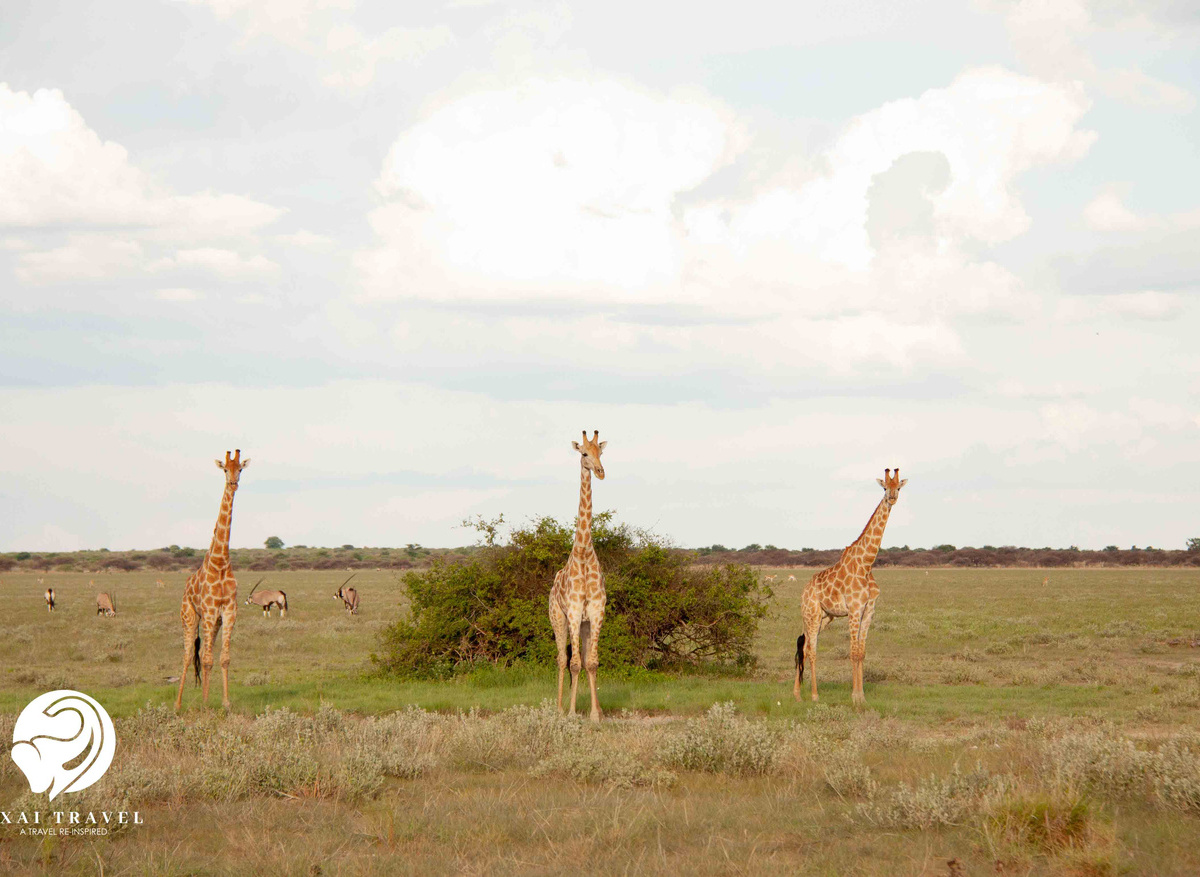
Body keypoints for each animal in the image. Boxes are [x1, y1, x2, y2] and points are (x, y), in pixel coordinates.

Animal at [175, 450, 249, 711]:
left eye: (240, 469)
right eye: (225, 469)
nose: (234, 483)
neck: (220, 561)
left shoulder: (229, 610)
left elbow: (223, 658)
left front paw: (225, 703)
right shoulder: (207, 611)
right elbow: (206, 659)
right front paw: (206, 705)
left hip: (213, 622)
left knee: (204, 653)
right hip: (189, 616)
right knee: (188, 655)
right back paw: (178, 704)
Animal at [794, 468, 907, 705]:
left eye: (898, 488)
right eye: (885, 487)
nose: (892, 498)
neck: (866, 563)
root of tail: (804, 592)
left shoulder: (869, 610)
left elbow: (861, 652)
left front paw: (861, 696)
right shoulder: (854, 609)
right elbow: (853, 652)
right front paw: (855, 697)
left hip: (824, 618)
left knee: (804, 646)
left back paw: (797, 694)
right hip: (812, 614)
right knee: (811, 650)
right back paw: (814, 695)